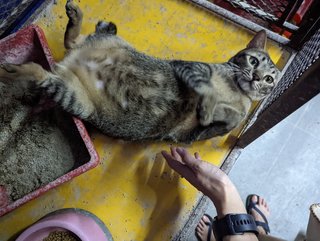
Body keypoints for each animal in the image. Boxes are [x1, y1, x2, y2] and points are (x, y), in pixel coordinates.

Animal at [0, 0, 280, 143]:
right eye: (253, 61)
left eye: (269, 79)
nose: (257, 78)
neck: (236, 91)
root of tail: (74, 60)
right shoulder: (190, 67)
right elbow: (208, 90)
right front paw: (209, 103)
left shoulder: (190, 135)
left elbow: (231, 119)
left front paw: (215, 112)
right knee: (63, 50)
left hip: (75, 97)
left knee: (53, 61)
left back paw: (15, 67)